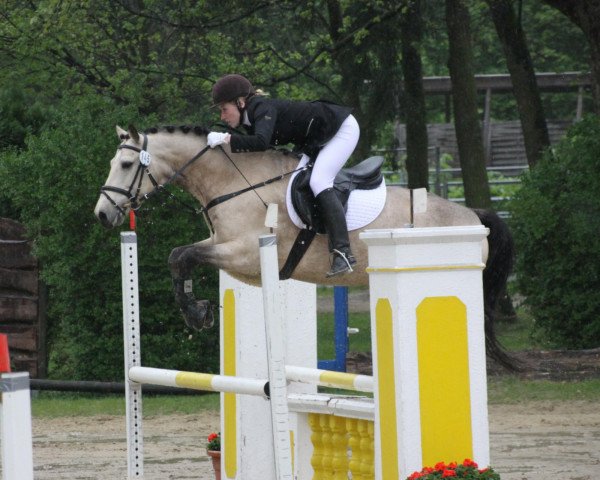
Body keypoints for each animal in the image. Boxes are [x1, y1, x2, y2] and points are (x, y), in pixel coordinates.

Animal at [94, 124, 516, 368]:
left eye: (127, 166)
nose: (102, 213)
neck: (234, 181)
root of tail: (474, 215)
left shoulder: (246, 252)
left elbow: (185, 255)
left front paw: (196, 312)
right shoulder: (222, 243)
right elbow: (177, 256)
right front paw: (197, 311)